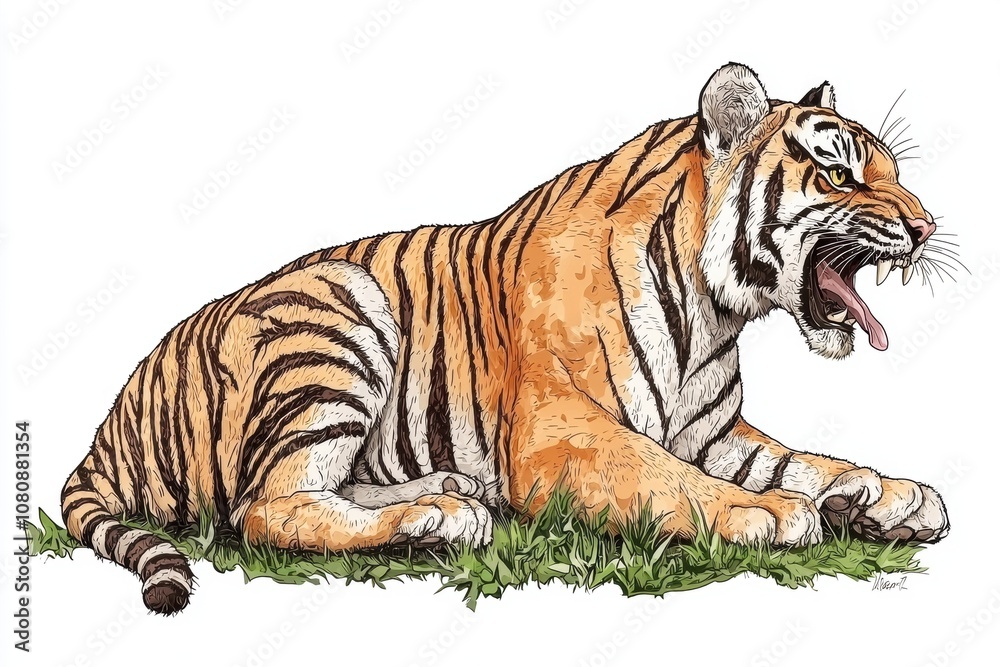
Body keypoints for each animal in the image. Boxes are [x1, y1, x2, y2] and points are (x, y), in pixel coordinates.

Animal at [60, 63, 951, 614]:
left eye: (895, 170)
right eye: (837, 173)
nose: (926, 227)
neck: (714, 312)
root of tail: (113, 420)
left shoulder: (715, 430)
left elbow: (801, 457)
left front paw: (883, 492)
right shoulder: (561, 430)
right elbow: (670, 477)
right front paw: (769, 513)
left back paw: (451, 494)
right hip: (339, 317)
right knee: (266, 506)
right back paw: (435, 520)